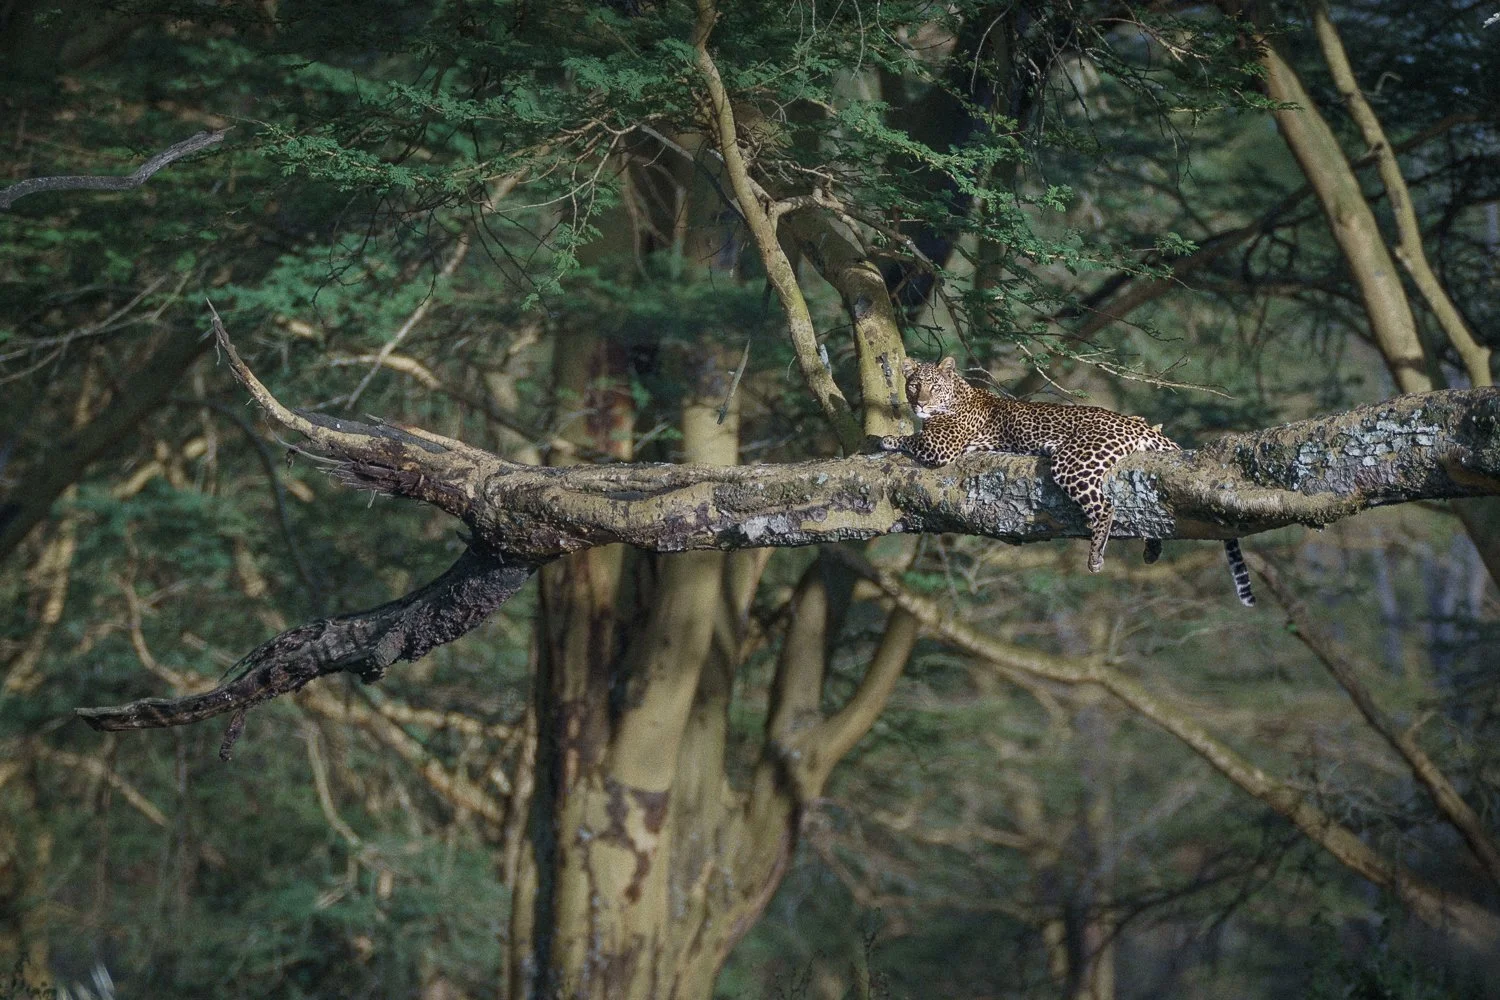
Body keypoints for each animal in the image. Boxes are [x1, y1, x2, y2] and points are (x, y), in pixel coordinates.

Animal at [879, 356, 1255, 607]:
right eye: (913, 385)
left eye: (933, 386)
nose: (919, 403)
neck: (958, 395)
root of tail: (1134, 423)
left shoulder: (939, 447)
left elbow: (909, 439)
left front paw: (884, 438)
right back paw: (1151, 549)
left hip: (1074, 462)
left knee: (1106, 507)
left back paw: (1096, 556)